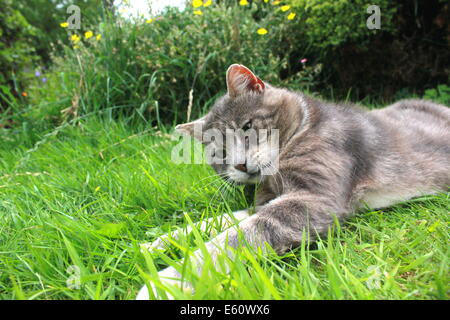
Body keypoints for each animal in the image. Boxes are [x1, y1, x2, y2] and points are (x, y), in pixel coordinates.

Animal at [136, 63, 450, 298]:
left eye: (247, 126)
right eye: (219, 153)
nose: (239, 164)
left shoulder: (312, 197)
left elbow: (234, 237)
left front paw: (167, 282)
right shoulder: (266, 201)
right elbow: (216, 222)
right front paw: (158, 243)